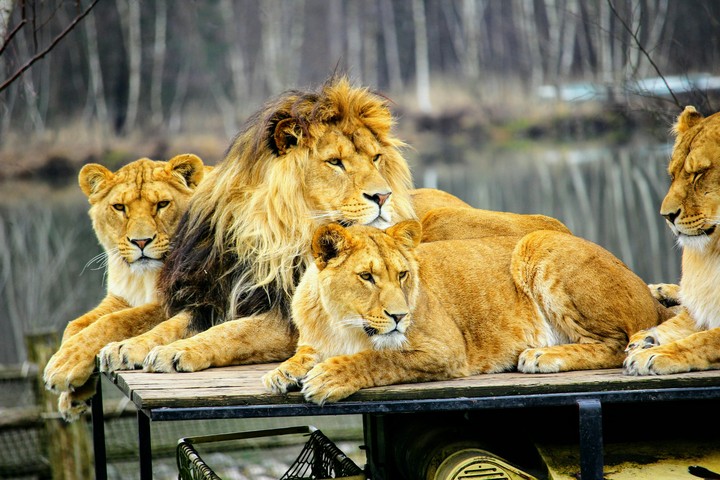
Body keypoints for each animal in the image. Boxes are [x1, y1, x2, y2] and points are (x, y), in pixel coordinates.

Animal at [42, 154, 206, 420]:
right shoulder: (120, 298)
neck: (141, 278)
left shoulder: (177, 300)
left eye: (162, 204)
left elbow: (116, 321)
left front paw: (62, 367)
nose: (141, 241)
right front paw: (73, 393)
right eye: (119, 207)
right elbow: (76, 326)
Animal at [97, 77, 567, 375]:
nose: (383, 196)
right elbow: (177, 321)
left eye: (375, 158)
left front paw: (175, 353)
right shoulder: (217, 292)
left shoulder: (288, 320)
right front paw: (127, 347)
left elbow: (232, 333)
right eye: (335, 162)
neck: (267, 239)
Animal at [263, 219, 671, 404]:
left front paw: (328, 378)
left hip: (536, 243)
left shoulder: (445, 349)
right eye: (367, 277)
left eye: (402, 274)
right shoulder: (316, 341)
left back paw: (542, 355)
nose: (399, 316)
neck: (343, 323)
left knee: (616, 344)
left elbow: (379, 359)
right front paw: (281, 373)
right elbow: (304, 354)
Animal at [625, 106, 720, 375]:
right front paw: (645, 340)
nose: (666, 216)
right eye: (672, 176)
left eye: (698, 174)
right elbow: (684, 322)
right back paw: (660, 291)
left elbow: (704, 339)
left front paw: (654, 353)